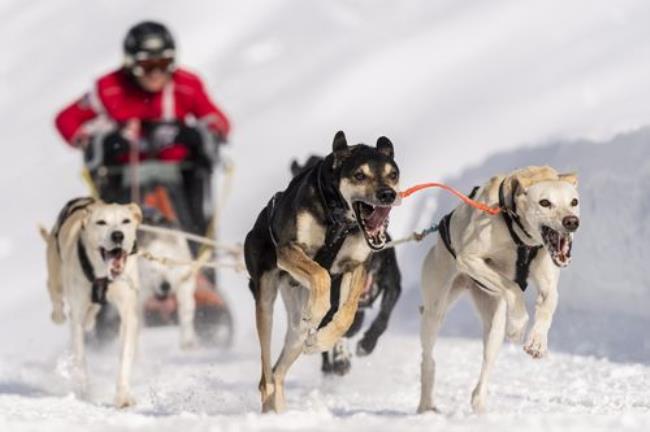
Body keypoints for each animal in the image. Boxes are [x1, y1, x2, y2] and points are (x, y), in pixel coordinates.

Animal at [41, 197, 142, 406]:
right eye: (101, 222)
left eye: (126, 221)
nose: (118, 235)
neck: (103, 276)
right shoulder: (76, 315)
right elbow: (80, 356)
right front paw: (84, 390)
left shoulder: (128, 313)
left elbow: (125, 355)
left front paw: (122, 396)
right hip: (56, 276)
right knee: (55, 294)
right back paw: (58, 314)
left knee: (92, 311)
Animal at [418, 166, 580, 416]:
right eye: (545, 202)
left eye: (574, 201)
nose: (571, 221)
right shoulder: (470, 259)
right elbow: (513, 287)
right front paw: (518, 326)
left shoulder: (548, 282)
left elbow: (548, 304)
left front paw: (537, 342)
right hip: (435, 311)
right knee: (428, 358)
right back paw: (426, 404)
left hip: (493, 323)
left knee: (487, 361)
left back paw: (479, 401)